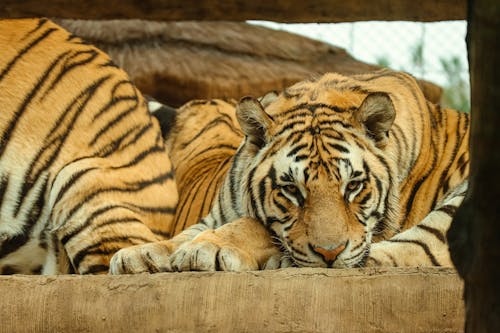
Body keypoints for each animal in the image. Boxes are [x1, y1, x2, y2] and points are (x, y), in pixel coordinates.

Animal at [110, 69, 468, 272]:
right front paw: (138, 255)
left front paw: (206, 249)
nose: (330, 254)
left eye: (353, 186)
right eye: (292, 190)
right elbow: (182, 234)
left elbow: (253, 227)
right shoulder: (215, 215)